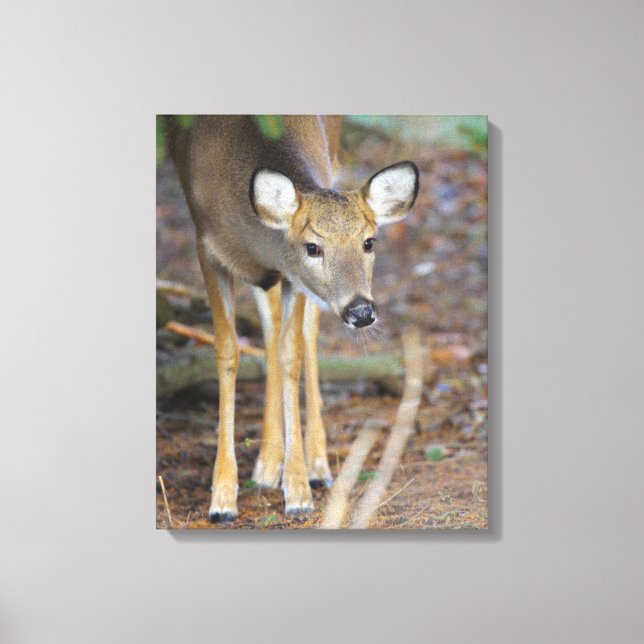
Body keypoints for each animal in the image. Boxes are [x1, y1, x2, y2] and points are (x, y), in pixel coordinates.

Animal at [164, 115, 419, 521]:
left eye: (369, 242)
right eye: (312, 247)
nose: (361, 311)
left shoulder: (291, 275)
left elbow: (291, 353)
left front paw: (298, 490)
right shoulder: (207, 246)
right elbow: (228, 351)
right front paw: (222, 498)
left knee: (305, 334)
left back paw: (315, 466)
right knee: (268, 328)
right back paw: (266, 466)